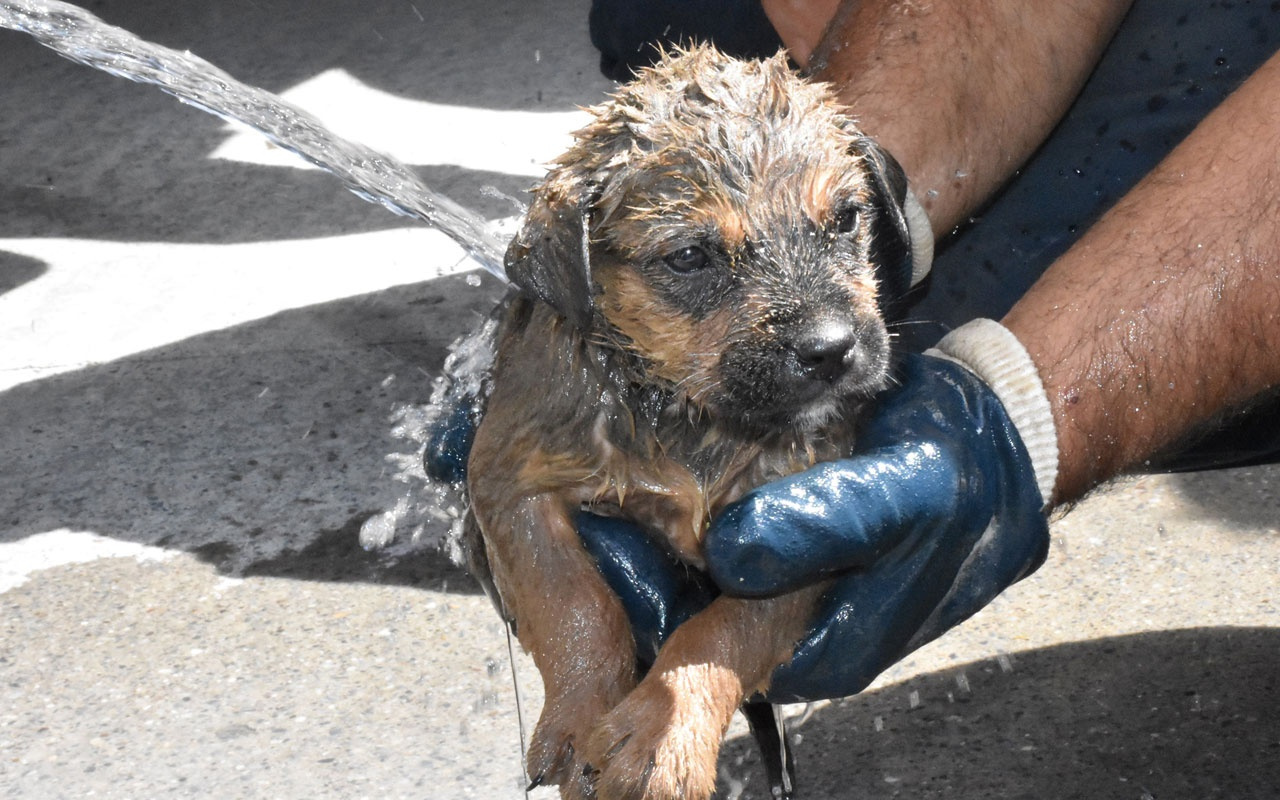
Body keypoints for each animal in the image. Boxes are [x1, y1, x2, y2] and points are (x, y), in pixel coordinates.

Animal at [465, 45, 926, 798]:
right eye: (690, 257)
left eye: (845, 219)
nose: (831, 349)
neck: (689, 415)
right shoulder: (511, 476)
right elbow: (572, 600)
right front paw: (581, 717)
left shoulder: (798, 530)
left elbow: (723, 630)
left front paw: (662, 733)